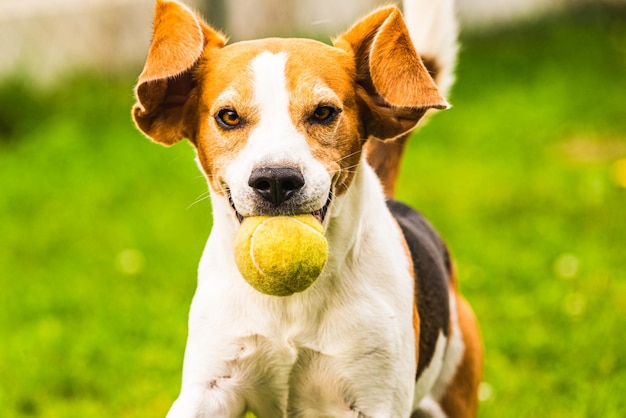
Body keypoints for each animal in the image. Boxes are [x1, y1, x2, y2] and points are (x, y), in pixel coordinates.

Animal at [133, 1, 482, 416]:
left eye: (324, 112)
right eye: (229, 116)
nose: (275, 179)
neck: (290, 302)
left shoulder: (375, 397)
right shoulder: (212, 385)